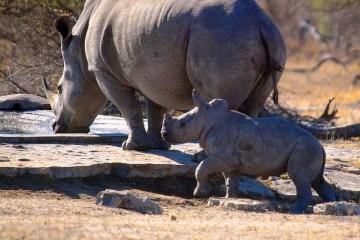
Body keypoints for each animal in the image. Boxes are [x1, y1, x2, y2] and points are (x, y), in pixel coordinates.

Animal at [162, 92, 336, 214]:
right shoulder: (229, 162)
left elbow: (201, 168)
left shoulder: (221, 157)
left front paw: (200, 193)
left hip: (306, 147)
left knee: (298, 176)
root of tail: (321, 145)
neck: (208, 118)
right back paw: (332, 203)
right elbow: (230, 180)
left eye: (183, 124)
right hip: (311, 148)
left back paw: (295, 210)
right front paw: (228, 199)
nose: (164, 134)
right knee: (316, 180)